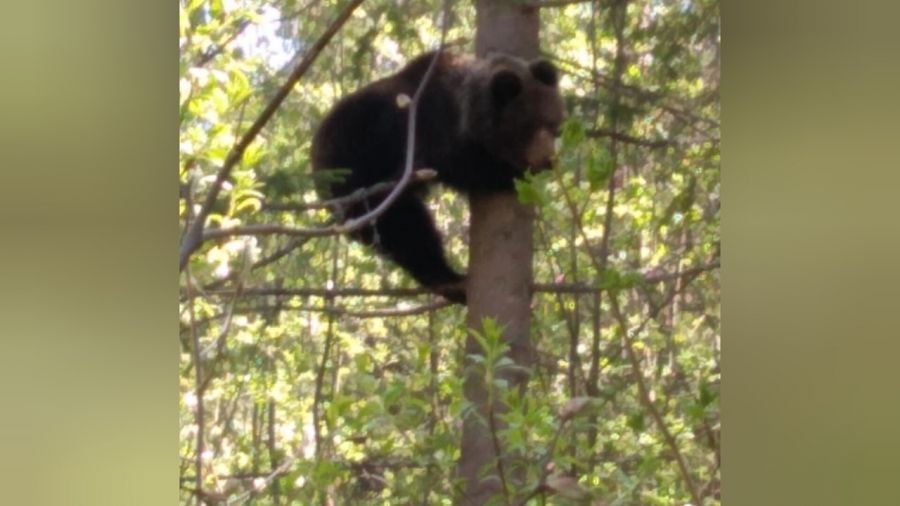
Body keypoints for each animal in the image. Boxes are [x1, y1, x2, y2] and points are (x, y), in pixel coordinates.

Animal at [310, 51, 564, 304]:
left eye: (555, 126)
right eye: (529, 126)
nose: (549, 160)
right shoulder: (428, 134)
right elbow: (463, 167)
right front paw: (511, 173)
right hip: (358, 183)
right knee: (409, 228)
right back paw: (451, 280)